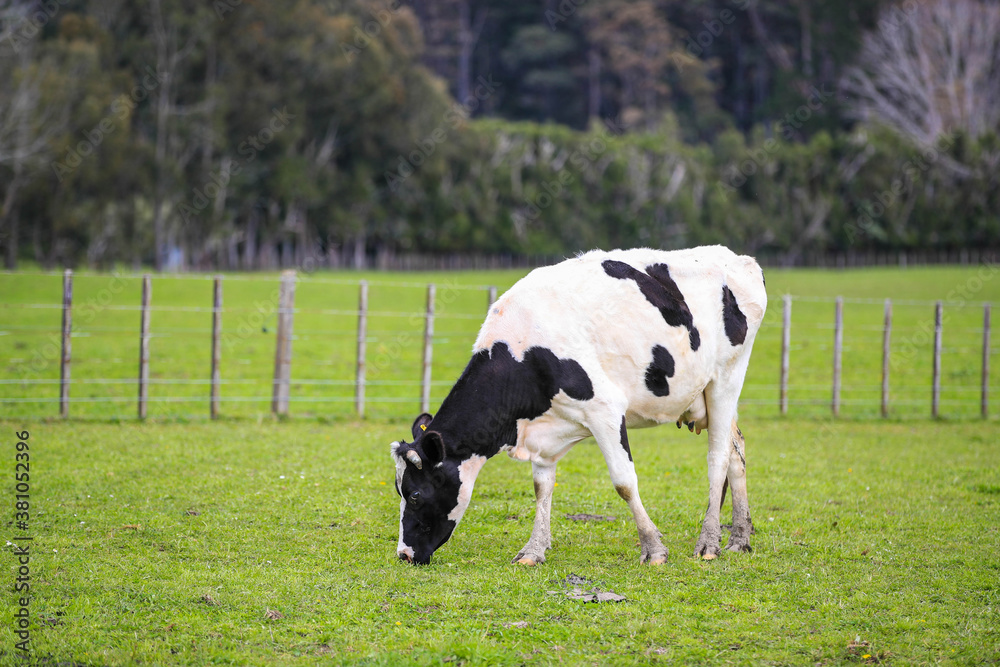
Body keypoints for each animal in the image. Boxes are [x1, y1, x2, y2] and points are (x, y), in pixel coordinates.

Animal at [391, 245, 767, 566]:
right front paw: (534, 549)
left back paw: (709, 542)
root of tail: (738, 258)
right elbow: (542, 487)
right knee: (736, 451)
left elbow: (623, 481)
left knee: (718, 458)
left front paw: (653, 549)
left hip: (725, 380)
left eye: (414, 494)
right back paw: (738, 538)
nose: (404, 554)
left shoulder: (605, 410)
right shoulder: (544, 431)